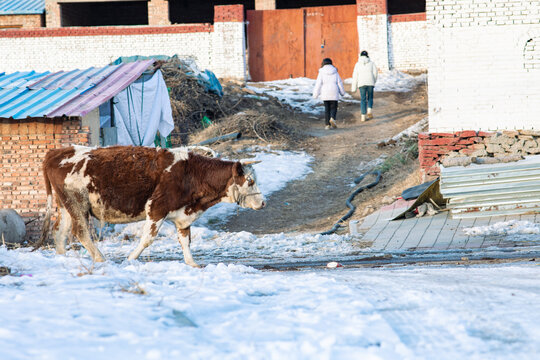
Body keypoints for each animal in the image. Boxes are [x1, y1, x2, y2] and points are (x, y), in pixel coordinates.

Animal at [35, 145, 266, 266]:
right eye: (250, 181)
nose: (263, 202)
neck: (190, 173)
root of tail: (59, 151)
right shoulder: (156, 208)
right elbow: (148, 238)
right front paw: (130, 259)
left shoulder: (183, 215)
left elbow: (185, 241)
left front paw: (192, 264)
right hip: (77, 204)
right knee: (80, 232)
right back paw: (100, 258)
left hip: (66, 206)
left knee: (59, 231)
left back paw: (62, 258)